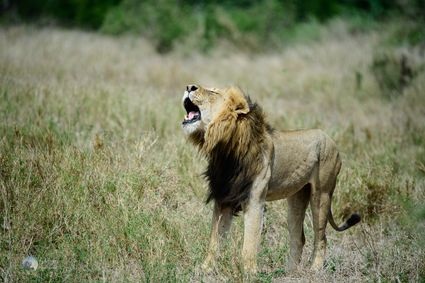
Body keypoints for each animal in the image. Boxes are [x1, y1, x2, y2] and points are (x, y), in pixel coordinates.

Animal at [181, 85, 360, 276]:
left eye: (213, 92)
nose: (189, 86)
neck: (225, 149)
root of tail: (329, 137)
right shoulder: (224, 198)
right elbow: (215, 239)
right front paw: (205, 269)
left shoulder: (254, 201)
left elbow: (249, 243)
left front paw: (249, 273)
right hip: (297, 198)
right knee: (299, 238)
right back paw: (289, 273)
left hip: (322, 195)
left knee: (321, 238)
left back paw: (315, 270)